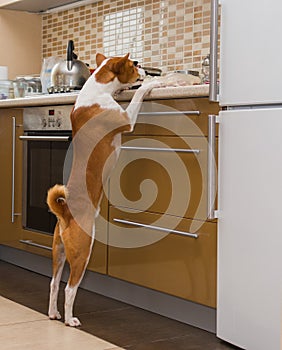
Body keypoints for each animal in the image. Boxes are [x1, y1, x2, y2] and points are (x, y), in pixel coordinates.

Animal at [47, 53, 160, 326]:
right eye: (134, 65)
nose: (145, 67)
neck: (97, 89)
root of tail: (65, 214)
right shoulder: (127, 120)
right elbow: (139, 97)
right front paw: (151, 84)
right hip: (82, 251)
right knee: (69, 288)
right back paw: (70, 319)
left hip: (59, 252)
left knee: (54, 284)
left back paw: (54, 313)